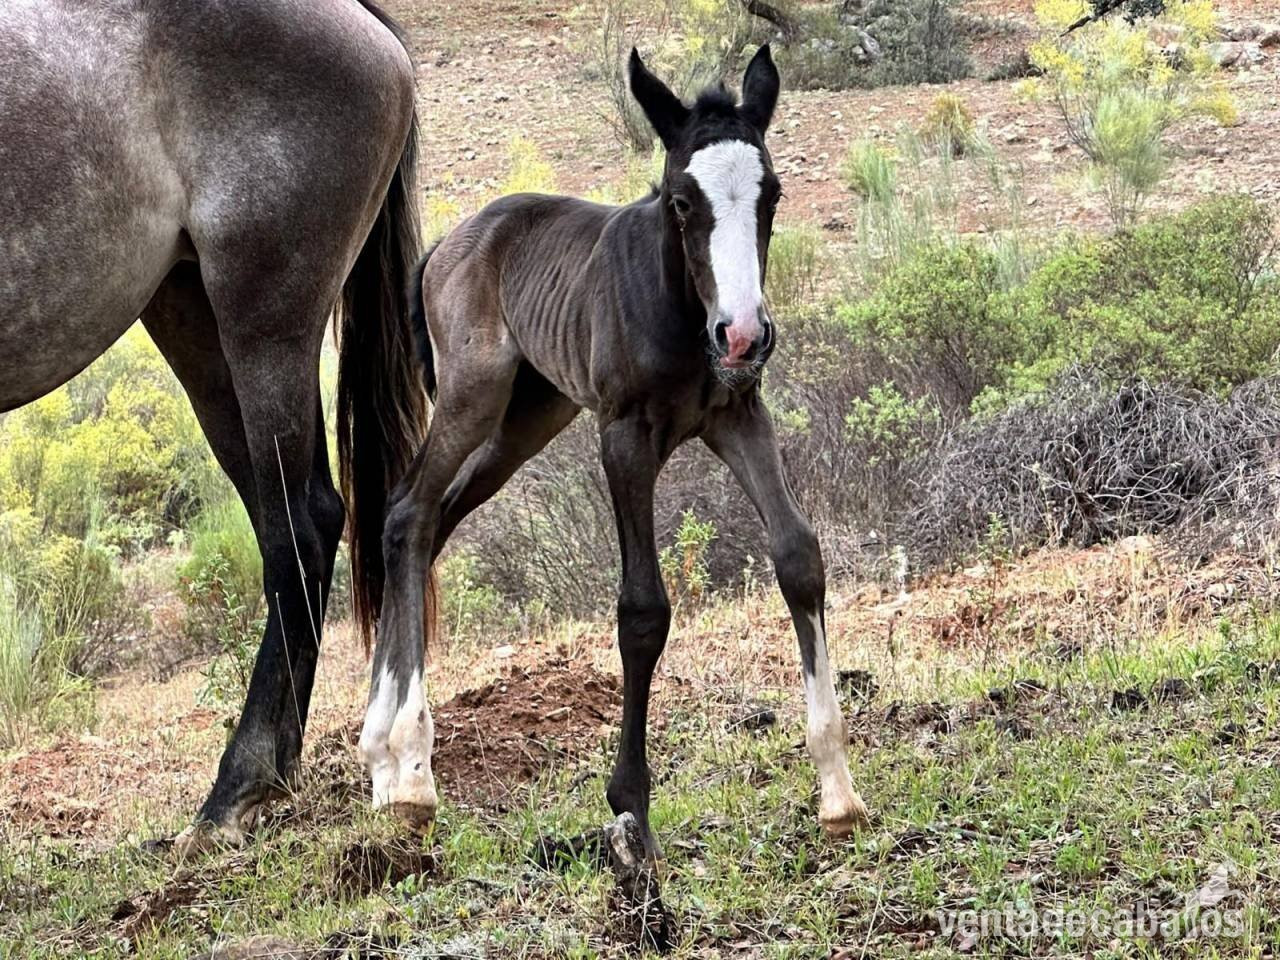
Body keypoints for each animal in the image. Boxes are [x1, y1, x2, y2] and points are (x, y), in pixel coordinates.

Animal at [0, 0, 429, 853]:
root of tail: (363, 24)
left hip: (264, 324)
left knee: (300, 526)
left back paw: (239, 785)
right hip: (191, 316)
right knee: (288, 529)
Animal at [351, 45, 870, 858]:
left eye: (773, 195)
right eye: (681, 201)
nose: (744, 334)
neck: (682, 311)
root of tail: (444, 247)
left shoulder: (739, 416)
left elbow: (798, 557)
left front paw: (838, 791)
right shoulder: (623, 435)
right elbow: (643, 609)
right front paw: (632, 807)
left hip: (525, 422)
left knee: (428, 522)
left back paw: (383, 758)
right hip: (474, 395)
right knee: (407, 510)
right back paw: (409, 772)